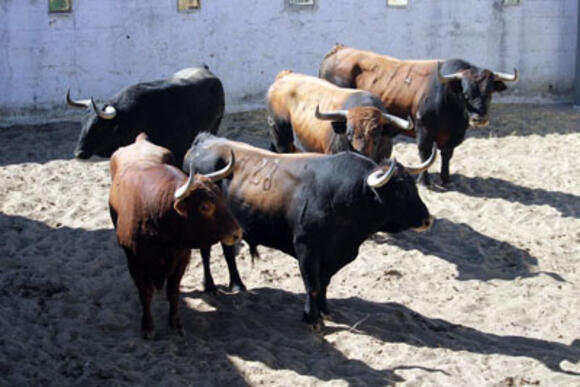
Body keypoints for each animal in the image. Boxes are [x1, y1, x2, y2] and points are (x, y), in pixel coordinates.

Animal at [110, 133, 241, 340]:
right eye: (205, 206)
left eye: (222, 197)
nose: (237, 233)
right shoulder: (134, 261)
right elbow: (145, 293)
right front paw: (147, 326)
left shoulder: (181, 258)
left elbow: (173, 291)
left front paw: (175, 323)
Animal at [182, 135, 436, 328]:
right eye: (400, 191)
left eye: (414, 187)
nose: (427, 220)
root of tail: (205, 140)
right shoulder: (306, 248)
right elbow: (312, 285)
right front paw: (311, 317)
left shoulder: (337, 255)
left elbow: (324, 282)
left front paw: (324, 309)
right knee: (206, 252)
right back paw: (210, 286)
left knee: (227, 252)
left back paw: (237, 284)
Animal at [320, 44, 520, 186]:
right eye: (465, 93)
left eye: (490, 92)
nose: (479, 119)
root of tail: (339, 49)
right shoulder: (423, 131)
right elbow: (426, 155)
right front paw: (424, 181)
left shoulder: (452, 135)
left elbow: (447, 155)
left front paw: (446, 179)